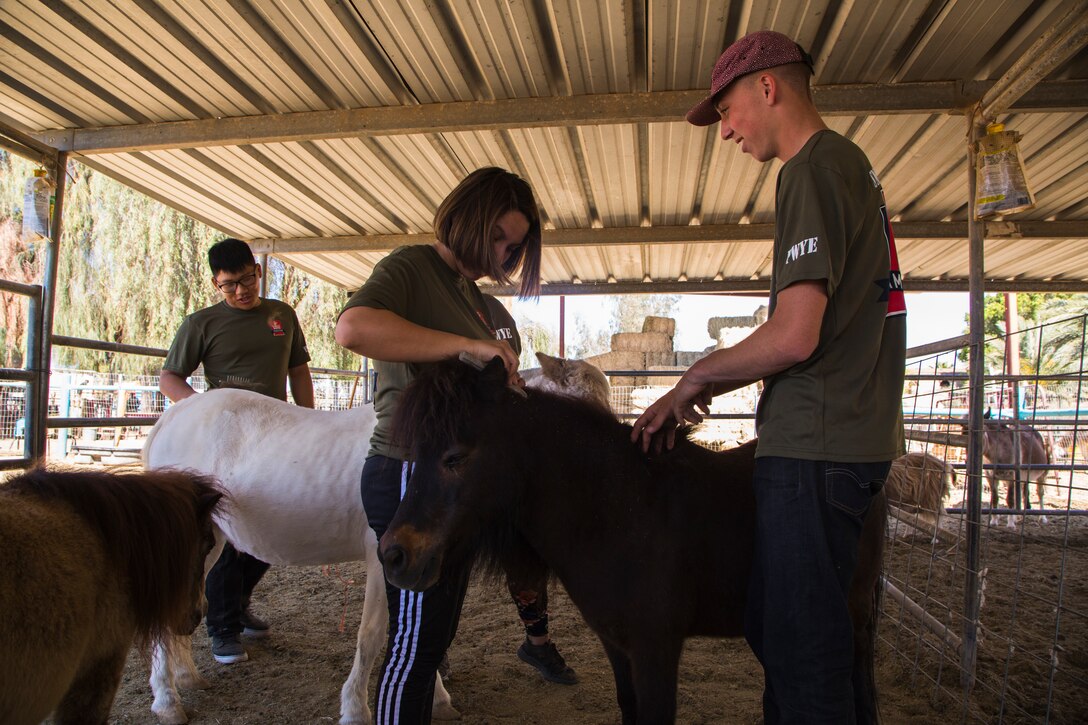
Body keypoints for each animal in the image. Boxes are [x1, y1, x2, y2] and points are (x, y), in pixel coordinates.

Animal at [140, 352, 609, 722]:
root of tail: (171, 416)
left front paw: (438, 700)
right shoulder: (383, 557)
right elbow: (373, 635)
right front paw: (355, 709)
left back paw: (186, 677)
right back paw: (167, 701)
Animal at [378, 354, 887, 722]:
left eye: (455, 457)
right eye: (415, 452)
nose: (394, 554)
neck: (620, 510)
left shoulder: (656, 648)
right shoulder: (617, 645)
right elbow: (629, 708)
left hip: (852, 617)